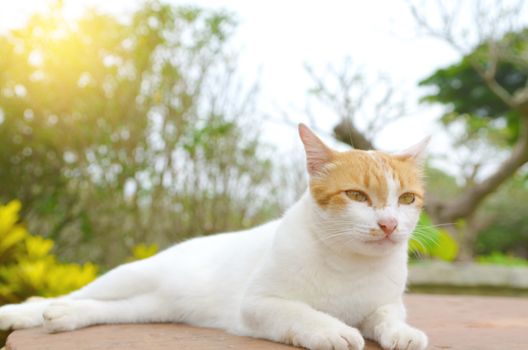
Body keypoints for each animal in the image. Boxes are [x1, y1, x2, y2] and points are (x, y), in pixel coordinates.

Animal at [0, 126, 428, 350]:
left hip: (153, 307)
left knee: (103, 309)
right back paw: (24, 311)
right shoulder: (258, 304)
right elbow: (301, 312)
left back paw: (65, 317)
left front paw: (403, 333)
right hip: (128, 276)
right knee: (66, 296)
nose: (390, 224)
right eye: (357, 196)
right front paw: (331, 328)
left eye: (406, 199)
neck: (350, 264)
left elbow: (388, 317)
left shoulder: (384, 303)